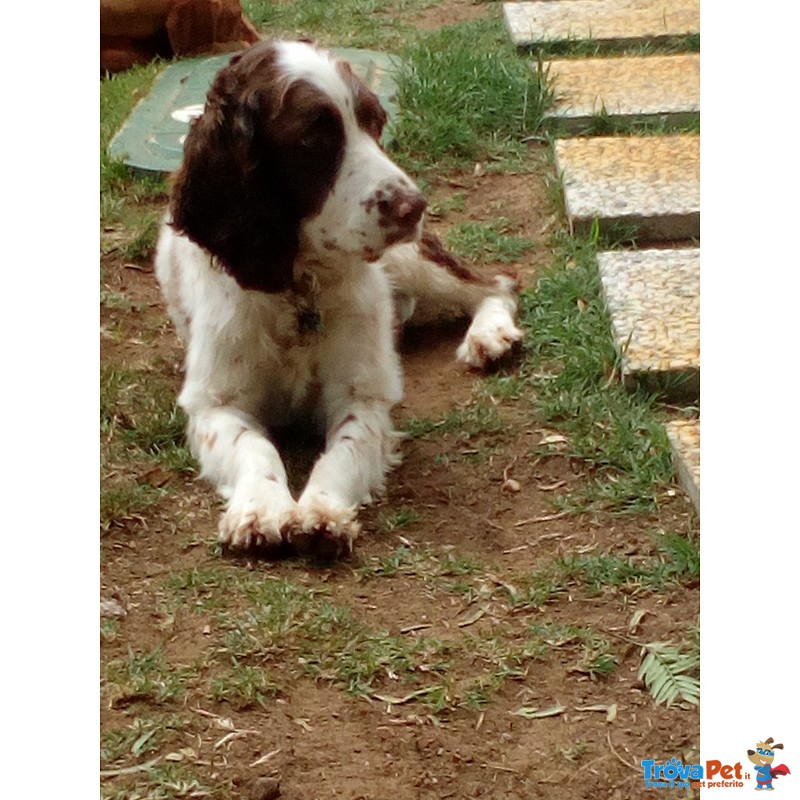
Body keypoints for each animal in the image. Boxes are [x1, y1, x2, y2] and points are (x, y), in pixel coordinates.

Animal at [156, 39, 524, 556]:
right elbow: (253, 446)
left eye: (375, 121)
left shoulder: (362, 394)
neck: (297, 287)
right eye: (314, 137)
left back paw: (489, 336)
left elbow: (343, 450)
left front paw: (322, 511)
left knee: (495, 284)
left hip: (408, 259)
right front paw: (261, 509)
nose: (414, 206)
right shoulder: (216, 401)